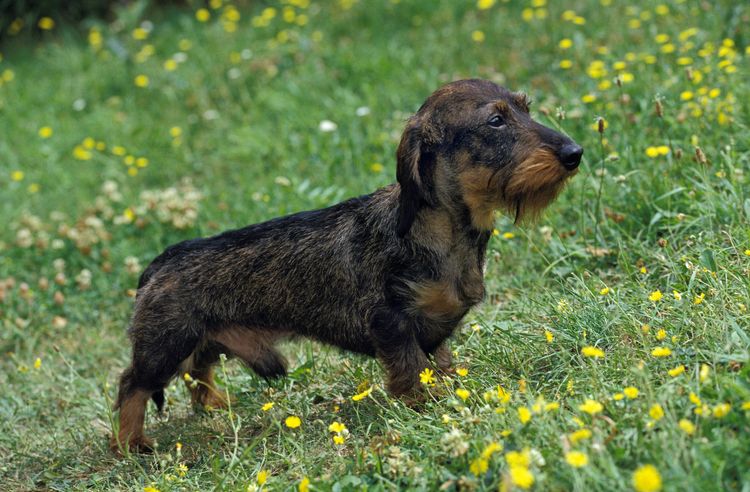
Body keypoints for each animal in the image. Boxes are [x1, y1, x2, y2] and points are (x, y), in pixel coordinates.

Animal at [111, 79, 584, 452]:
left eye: (525, 108)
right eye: (496, 122)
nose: (575, 152)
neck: (442, 231)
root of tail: (160, 262)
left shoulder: (434, 327)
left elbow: (441, 364)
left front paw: (451, 389)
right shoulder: (391, 322)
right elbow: (410, 370)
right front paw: (424, 406)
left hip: (205, 339)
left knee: (198, 372)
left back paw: (214, 405)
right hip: (165, 344)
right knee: (132, 385)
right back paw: (130, 443)